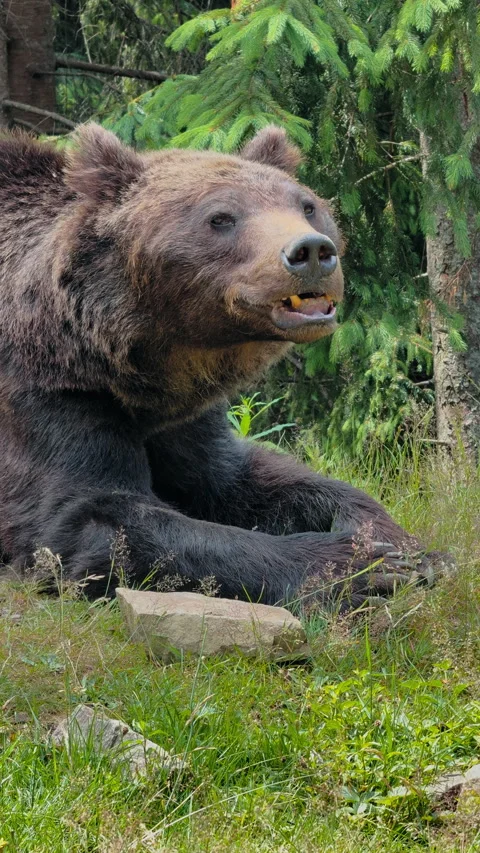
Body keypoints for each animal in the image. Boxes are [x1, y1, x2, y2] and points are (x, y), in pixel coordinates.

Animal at [0, 123, 434, 607]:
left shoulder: (185, 412)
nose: (312, 251)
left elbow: (241, 477)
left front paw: (404, 547)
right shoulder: (50, 388)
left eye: (308, 206)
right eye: (221, 217)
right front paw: (359, 566)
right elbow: (87, 516)